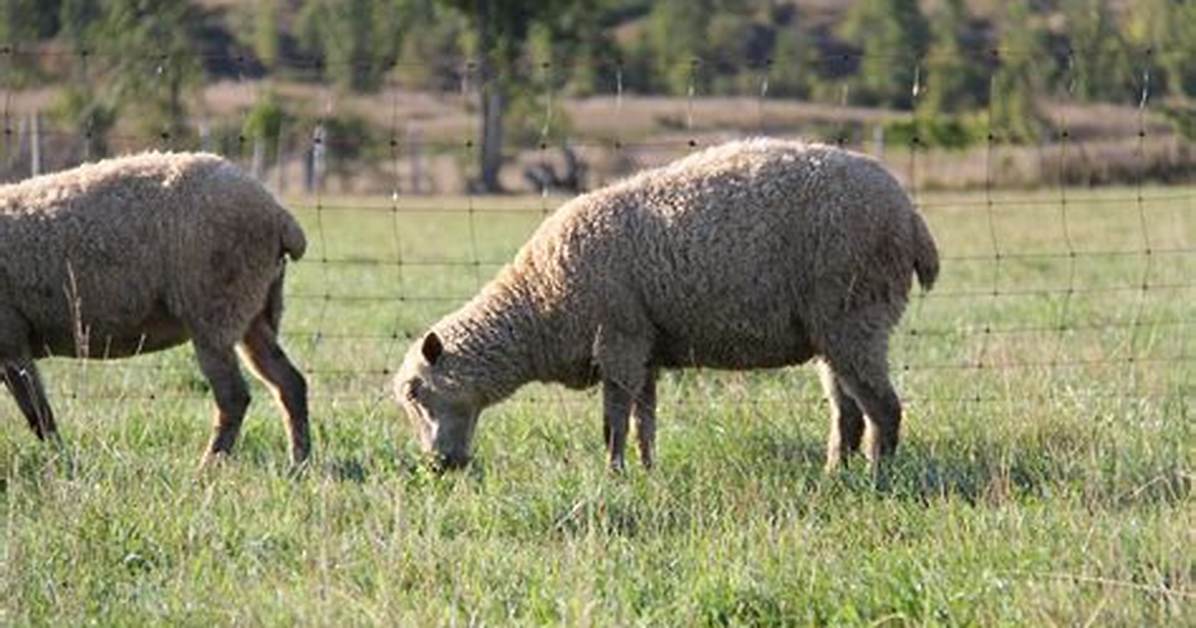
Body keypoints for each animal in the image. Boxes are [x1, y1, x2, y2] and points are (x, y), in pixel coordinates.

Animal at [0, 151, 310, 467]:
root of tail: (280, 216)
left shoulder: (10, 340)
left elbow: (39, 415)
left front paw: (63, 464)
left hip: (216, 311)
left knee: (234, 396)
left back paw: (208, 465)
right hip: (255, 311)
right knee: (289, 383)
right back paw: (298, 463)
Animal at [392, 138, 939, 473]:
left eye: (417, 395)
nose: (437, 469)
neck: (537, 301)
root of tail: (911, 218)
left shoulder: (618, 339)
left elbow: (613, 421)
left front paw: (612, 475)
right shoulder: (645, 348)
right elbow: (643, 421)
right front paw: (648, 470)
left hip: (856, 316)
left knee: (884, 409)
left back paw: (877, 477)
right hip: (832, 330)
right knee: (847, 412)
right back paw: (835, 474)